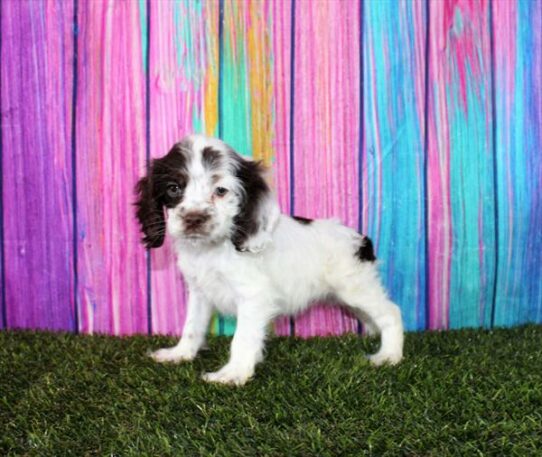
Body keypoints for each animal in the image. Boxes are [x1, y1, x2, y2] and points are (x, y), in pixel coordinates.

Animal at [136, 134, 404, 384]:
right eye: (173, 188)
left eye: (221, 191)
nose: (193, 218)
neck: (212, 248)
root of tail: (362, 240)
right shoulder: (200, 292)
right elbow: (192, 325)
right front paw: (180, 354)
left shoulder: (254, 296)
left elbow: (242, 338)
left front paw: (233, 373)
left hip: (356, 288)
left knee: (391, 312)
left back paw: (389, 355)